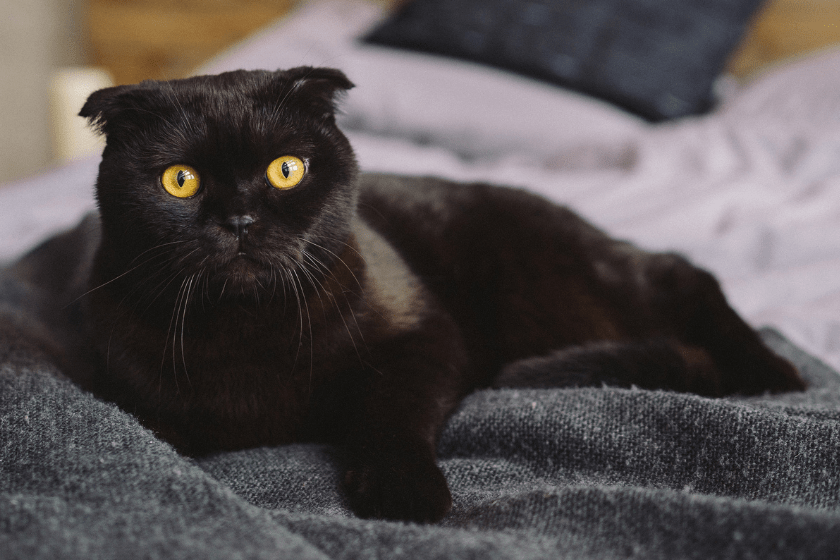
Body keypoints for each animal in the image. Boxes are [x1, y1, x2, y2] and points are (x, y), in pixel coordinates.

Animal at [65, 68, 800, 524]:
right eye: (180, 180)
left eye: (286, 170)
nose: (241, 220)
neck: (249, 333)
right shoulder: (128, 387)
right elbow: (155, 439)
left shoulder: (423, 334)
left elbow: (391, 410)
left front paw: (404, 491)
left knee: (684, 272)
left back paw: (773, 372)